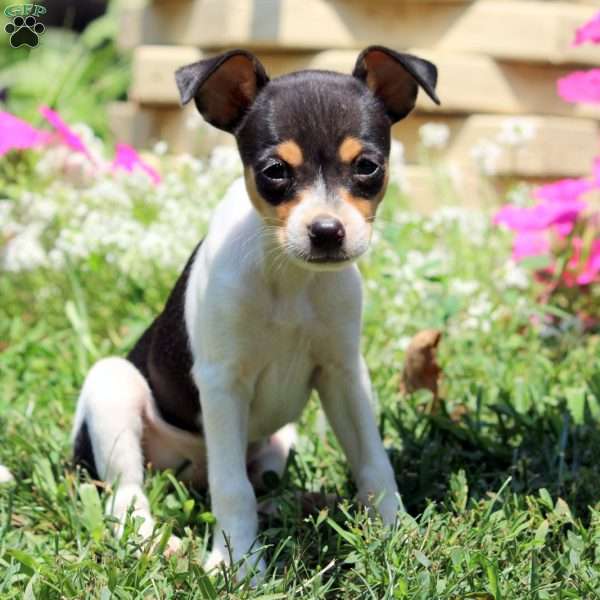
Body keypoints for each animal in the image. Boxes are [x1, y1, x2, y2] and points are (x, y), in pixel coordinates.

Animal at [71, 44, 440, 580]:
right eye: (275, 171)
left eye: (368, 166)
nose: (326, 232)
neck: (290, 279)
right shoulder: (223, 383)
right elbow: (231, 489)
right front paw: (239, 564)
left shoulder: (344, 374)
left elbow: (374, 463)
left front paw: (399, 533)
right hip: (113, 389)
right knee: (128, 495)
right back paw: (155, 542)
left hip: (280, 439)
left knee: (259, 478)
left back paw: (288, 504)